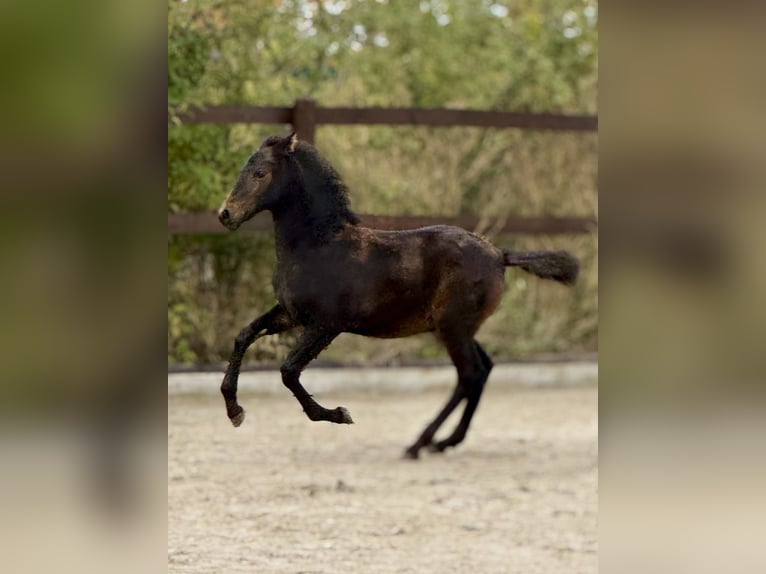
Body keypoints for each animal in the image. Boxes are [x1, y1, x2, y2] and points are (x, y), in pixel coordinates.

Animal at [217, 132, 579, 458]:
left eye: (260, 173)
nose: (225, 214)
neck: (318, 245)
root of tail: (500, 255)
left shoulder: (326, 324)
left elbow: (289, 370)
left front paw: (337, 415)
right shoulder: (291, 314)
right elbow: (243, 335)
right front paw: (235, 411)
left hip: (453, 327)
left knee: (470, 374)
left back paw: (421, 443)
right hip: (458, 327)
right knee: (484, 368)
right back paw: (445, 442)